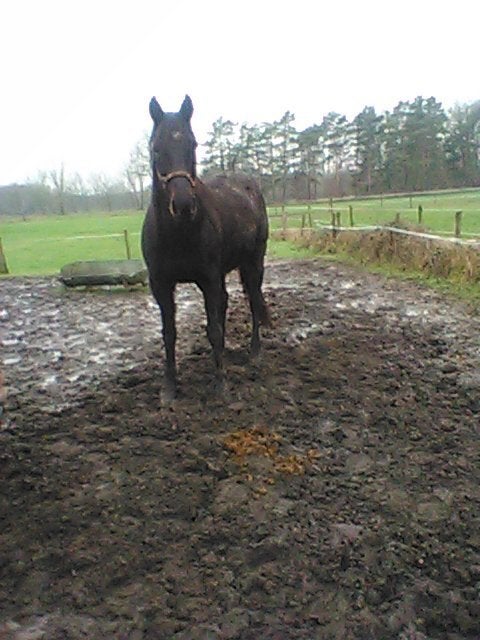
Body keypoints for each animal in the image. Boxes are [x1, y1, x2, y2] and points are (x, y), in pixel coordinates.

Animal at [141, 95, 270, 401]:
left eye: (193, 144)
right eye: (156, 147)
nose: (183, 204)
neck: (179, 234)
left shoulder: (208, 279)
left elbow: (214, 329)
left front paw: (221, 384)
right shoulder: (161, 284)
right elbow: (169, 333)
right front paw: (169, 387)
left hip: (253, 262)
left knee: (253, 301)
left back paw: (254, 352)